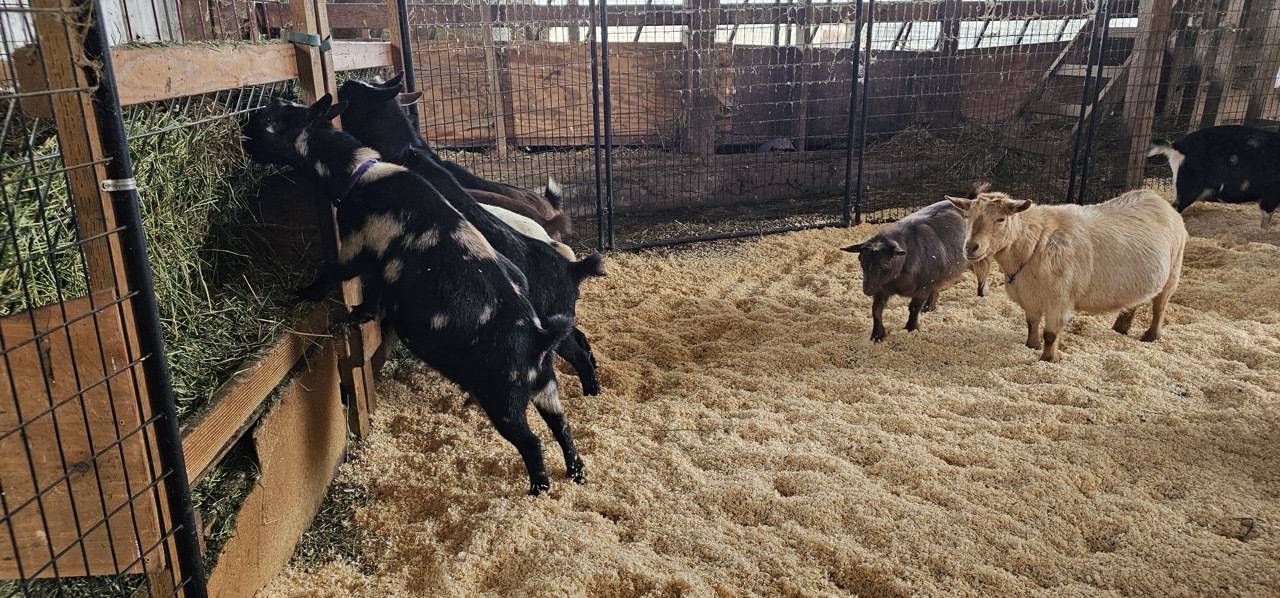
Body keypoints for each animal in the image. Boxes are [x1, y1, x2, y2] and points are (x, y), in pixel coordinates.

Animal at [241, 94, 585, 494]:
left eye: (279, 118)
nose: (245, 130)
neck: (359, 176)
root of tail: (539, 339)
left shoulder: (358, 245)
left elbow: (335, 273)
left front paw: (306, 295)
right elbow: (373, 293)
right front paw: (359, 313)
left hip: (503, 397)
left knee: (531, 441)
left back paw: (538, 488)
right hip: (545, 385)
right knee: (561, 425)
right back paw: (577, 473)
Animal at [841, 200, 991, 342]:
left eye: (886, 262)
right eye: (861, 260)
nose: (867, 290)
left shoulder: (923, 286)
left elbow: (914, 307)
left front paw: (911, 328)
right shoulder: (882, 287)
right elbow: (876, 310)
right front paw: (877, 335)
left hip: (979, 257)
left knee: (983, 273)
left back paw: (982, 293)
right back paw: (929, 307)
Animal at [947, 189, 1187, 363]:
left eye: (1001, 219)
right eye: (967, 216)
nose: (971, 247)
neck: (1035, 242)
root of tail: (1161, 201)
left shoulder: (1059, 300)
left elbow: (1050, 334)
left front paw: (1047, 359)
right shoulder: (1030, 296)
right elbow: (1031, 323)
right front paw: (1031, 345)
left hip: (1173, 271)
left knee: (1159, 307)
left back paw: (1151, 336)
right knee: (1134, 301)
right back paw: (1120, 328)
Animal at [1148, 124, 1280, 230]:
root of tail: (1176, 145)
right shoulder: (1272, 192)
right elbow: (1266, 212)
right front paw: (1265, 231)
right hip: (1189, 185)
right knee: (1176, 206)